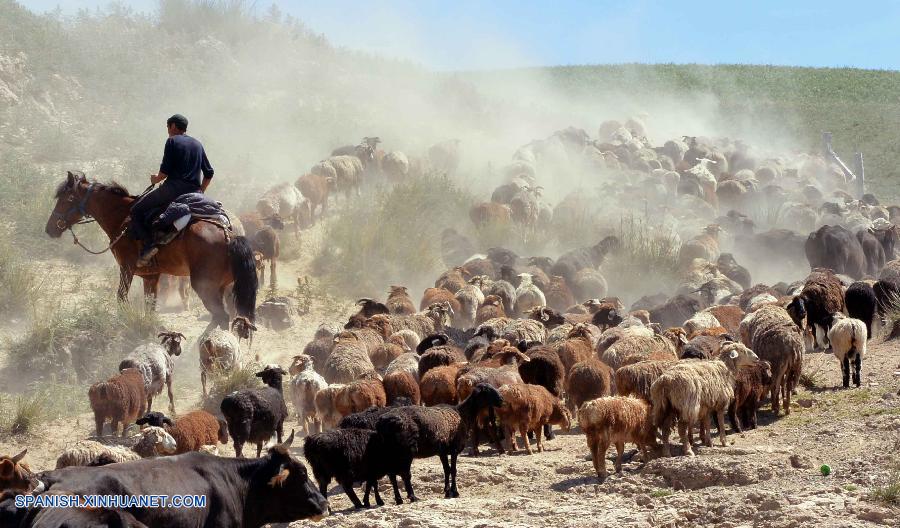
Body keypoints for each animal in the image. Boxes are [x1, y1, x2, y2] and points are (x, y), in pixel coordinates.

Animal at [45, 172, 256, 330]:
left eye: (67, 199)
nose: (49, 229)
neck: (123, 218)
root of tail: (229, 236)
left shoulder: (127, 268)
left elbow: (121, 298)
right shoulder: (151, 276)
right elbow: (150, 306)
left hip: (205, 286)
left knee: (222, 316)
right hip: (221, 287)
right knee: (222, 317)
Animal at [372, 384, 502, 504]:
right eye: (487, 390)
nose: (501, 400)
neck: (463, 414)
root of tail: (383, 422)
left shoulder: (442, 451)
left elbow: (446, 470)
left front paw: (447, 491)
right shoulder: (454, 449)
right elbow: (453, 470)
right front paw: (455, 492)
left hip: (390, 452)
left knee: (392, 475)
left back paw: (399, 499)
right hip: (406, 451)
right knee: (405, 474)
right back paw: (413, 497)